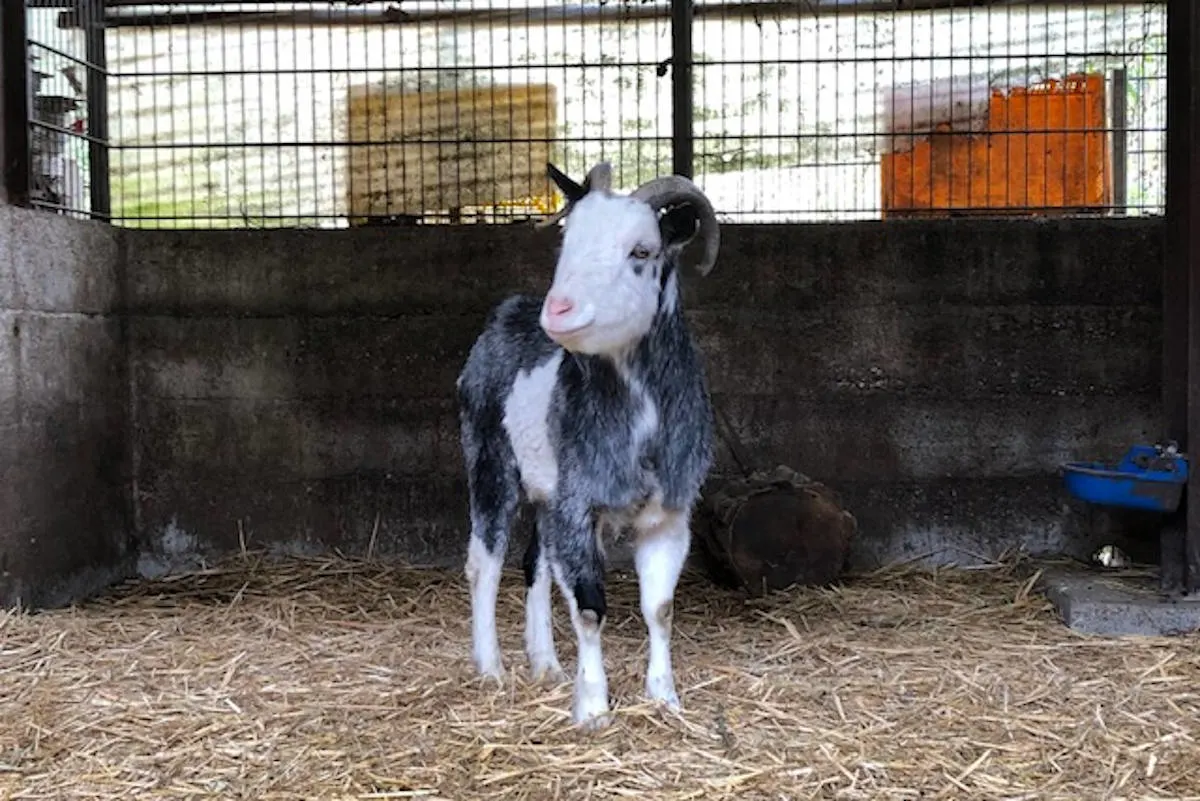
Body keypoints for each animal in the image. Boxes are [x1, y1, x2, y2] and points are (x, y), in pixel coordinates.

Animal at [455, 161, 721, 729]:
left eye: (641, 251)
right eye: (567, 243)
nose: (558, 310)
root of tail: (507, 313)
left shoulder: (669, 515)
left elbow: (659, 609)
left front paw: (665, 697)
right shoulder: (579, 505)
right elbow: (589, 608)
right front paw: (594, 708)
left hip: (546, 490)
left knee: (535, 562)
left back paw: (546, 665)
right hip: (488, 456)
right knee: (485, 560)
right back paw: (491, 669)